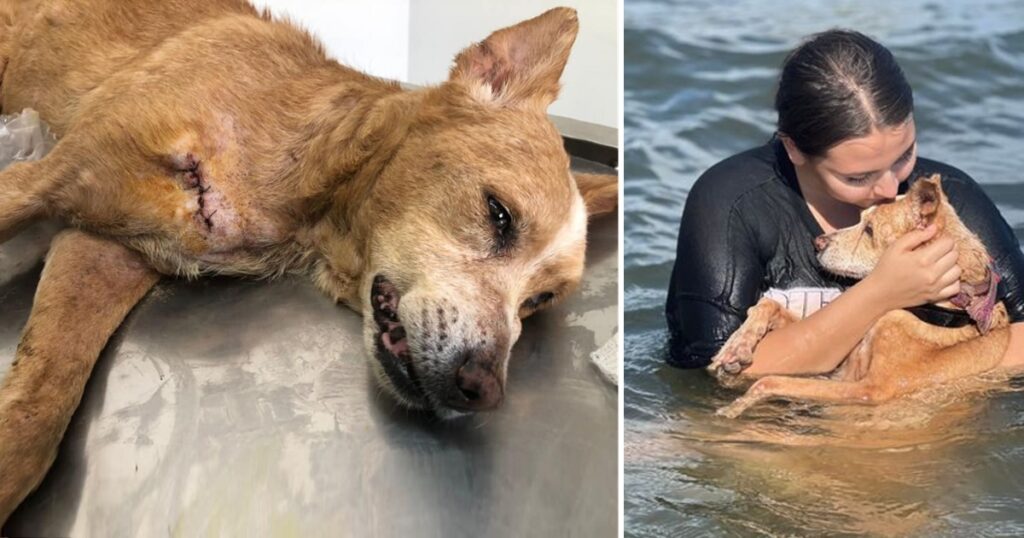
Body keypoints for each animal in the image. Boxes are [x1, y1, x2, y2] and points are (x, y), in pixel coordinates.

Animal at [0, 0, 614, 520]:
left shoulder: (102, 249)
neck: (307, 166)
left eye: (539, 300)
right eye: (499, 214)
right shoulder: (53, 177)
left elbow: (39, 410)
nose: (485, 390)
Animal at [708, 174, 1011, 418]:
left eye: (869, 230)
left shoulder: (870, 390)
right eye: (860, 218)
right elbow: (768, 304)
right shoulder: (840, 364)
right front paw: (736, 347)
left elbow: (770, 381)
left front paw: (732, 408)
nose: (816, 243)